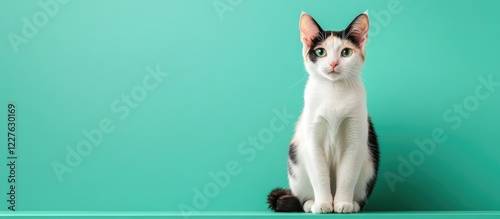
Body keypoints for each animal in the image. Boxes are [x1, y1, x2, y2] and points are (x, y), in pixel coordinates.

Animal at [266, 12, 378, 214]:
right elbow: (319, 175)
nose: (333, 63)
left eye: (346, 52)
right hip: (295, 163)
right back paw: (311, 203)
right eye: (320, 52)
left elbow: (347, 174)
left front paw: (343, 203)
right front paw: (323, 204)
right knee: (303, 196)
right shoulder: (312, 139)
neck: (333, 91)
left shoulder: (355, 138)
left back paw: (353, 203)